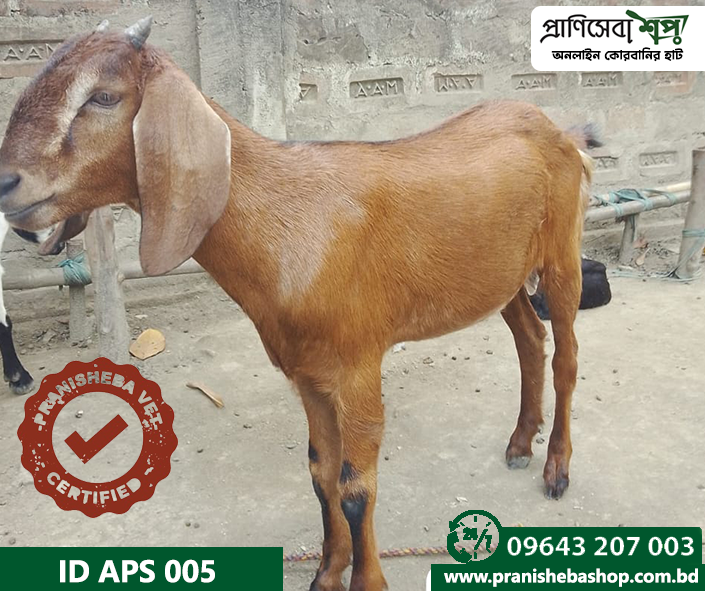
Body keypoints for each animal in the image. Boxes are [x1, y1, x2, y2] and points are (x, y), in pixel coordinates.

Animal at [0, 18, 593, 591]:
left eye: (103, 96)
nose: (6, 182)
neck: (288, 219)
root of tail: (557, 129)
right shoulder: (309, 374)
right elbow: (319, 474)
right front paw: (326, 573)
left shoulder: (357, 366)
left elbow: (355, 486)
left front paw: (367, 580)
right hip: (505, 275)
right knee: (530, 339)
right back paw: (520, 442)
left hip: (562, 252)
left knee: (566, 357)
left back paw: (556, 468)